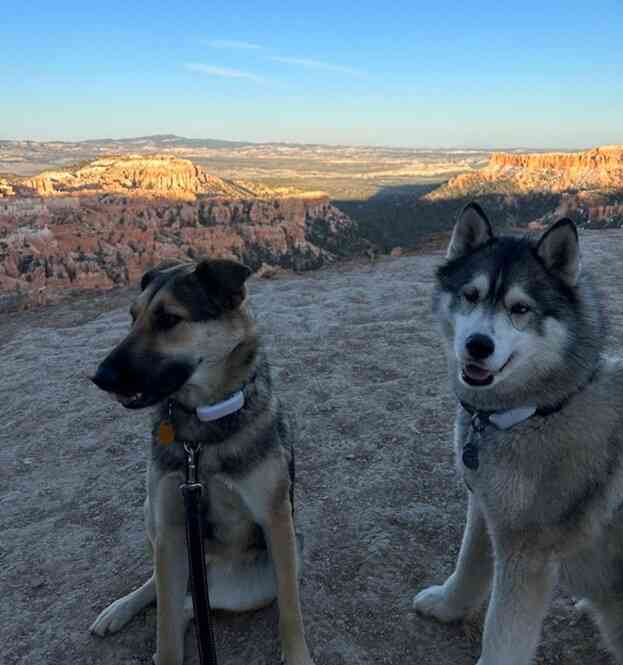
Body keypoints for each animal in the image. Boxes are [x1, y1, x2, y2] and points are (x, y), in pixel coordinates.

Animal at [89, 204, 623, 664]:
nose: (100, 376)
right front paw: (447, 606)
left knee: (185, 604)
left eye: (520, 309)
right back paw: (118, 611)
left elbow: (500, 632)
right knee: (167, 593)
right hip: (160, 524)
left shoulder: (525, 548)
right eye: (470, 297)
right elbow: (471, 566)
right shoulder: (489, 508)